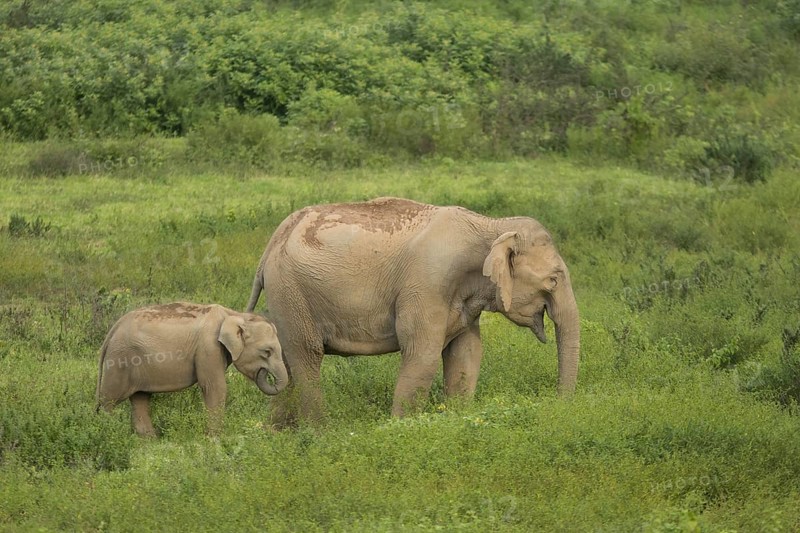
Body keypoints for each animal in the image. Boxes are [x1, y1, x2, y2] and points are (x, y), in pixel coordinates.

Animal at [96, 302, 288, 436]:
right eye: (267, 351)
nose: (264, 373)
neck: (234, 314)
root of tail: (112, 330)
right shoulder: (208, 347)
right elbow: (215, 387)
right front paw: (215, 439)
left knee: (140, 399)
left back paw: (149, 441)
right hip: (120, 361)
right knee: (108, 400)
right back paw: (107, 432)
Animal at [246, 197, 580, 426]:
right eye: (553, 280)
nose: (559, 405)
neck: (492, 225)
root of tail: (270, 245)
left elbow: (467, 353)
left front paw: (457, 419)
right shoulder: (428, 283)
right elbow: (423, 355)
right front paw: (399, 428)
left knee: (286, 364)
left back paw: (277, 434)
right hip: (291, 291)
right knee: (307, 358)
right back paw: (319, 432)